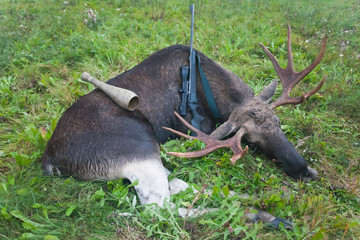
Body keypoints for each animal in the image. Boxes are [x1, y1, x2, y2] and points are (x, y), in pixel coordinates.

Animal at [41, 24, 326, 208]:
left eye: (278, 123)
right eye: (250, 141)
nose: (304, 169)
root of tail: (50, 159)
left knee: (178, 185)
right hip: (140, 147)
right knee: (161, 207)